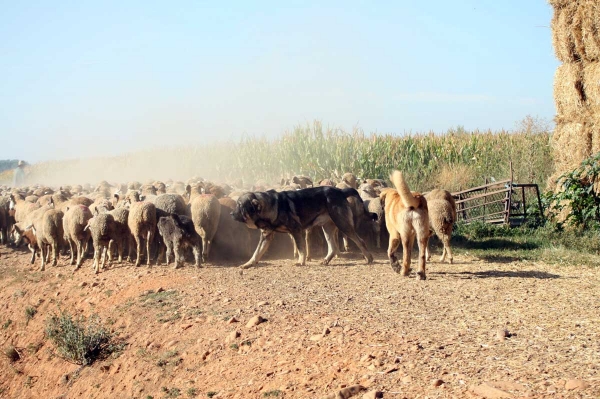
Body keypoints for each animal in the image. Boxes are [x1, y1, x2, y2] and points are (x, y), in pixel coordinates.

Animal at [232, 188, 372, 270]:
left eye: (240, 205)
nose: (231, 214)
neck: (270, 206)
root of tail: (341, 191)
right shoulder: (266, 236)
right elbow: (257, 253)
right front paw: (248, 264)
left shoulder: (296, 230)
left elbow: (301, 248)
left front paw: (301, 261)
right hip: (327, 228)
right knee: (333, 247)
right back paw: (326, 260)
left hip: (342, 224)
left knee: (360, 241)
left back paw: (369, 258)